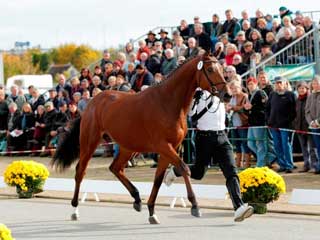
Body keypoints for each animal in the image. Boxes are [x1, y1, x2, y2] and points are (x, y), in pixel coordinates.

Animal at [52, 53, 226, 224]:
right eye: (210, 69)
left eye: (221, 68)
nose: (227, 93)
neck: (168, 103)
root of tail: (91, 103)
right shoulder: (163, 146)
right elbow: (184, 168)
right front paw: (195, 205)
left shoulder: (170, 148)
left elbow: (159, 178)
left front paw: (152, 212)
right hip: (90, 142)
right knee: (81, 171)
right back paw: (75, 209)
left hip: (127, 147)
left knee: (115, 168)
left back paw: (136, 199)